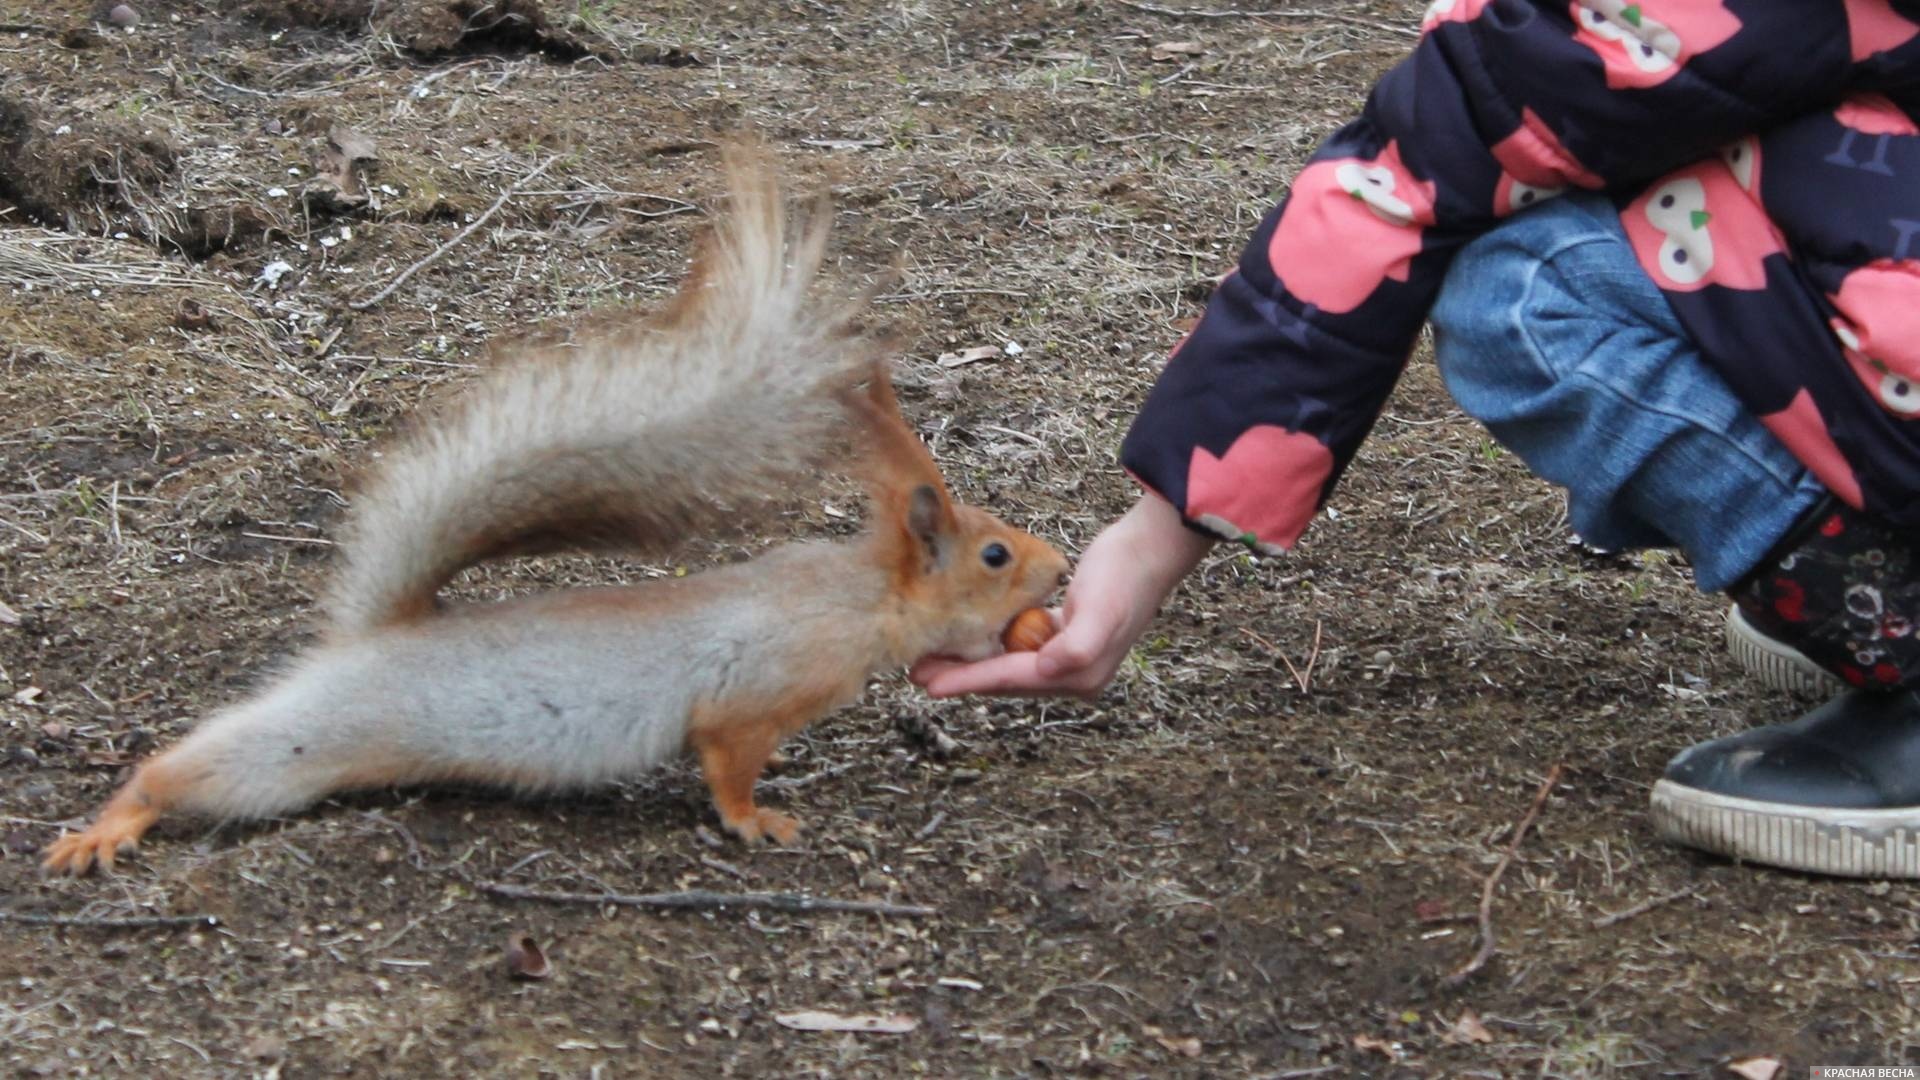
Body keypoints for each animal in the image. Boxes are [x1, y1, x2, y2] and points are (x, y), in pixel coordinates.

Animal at [41, 147, 1082, 868]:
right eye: (994, 555)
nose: (1065, 569)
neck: (859, 596)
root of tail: (381, 634)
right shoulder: (755, 692)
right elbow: (727, 761)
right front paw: (757, 819)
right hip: (305, 743)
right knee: (186, 768)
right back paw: (108, 826)